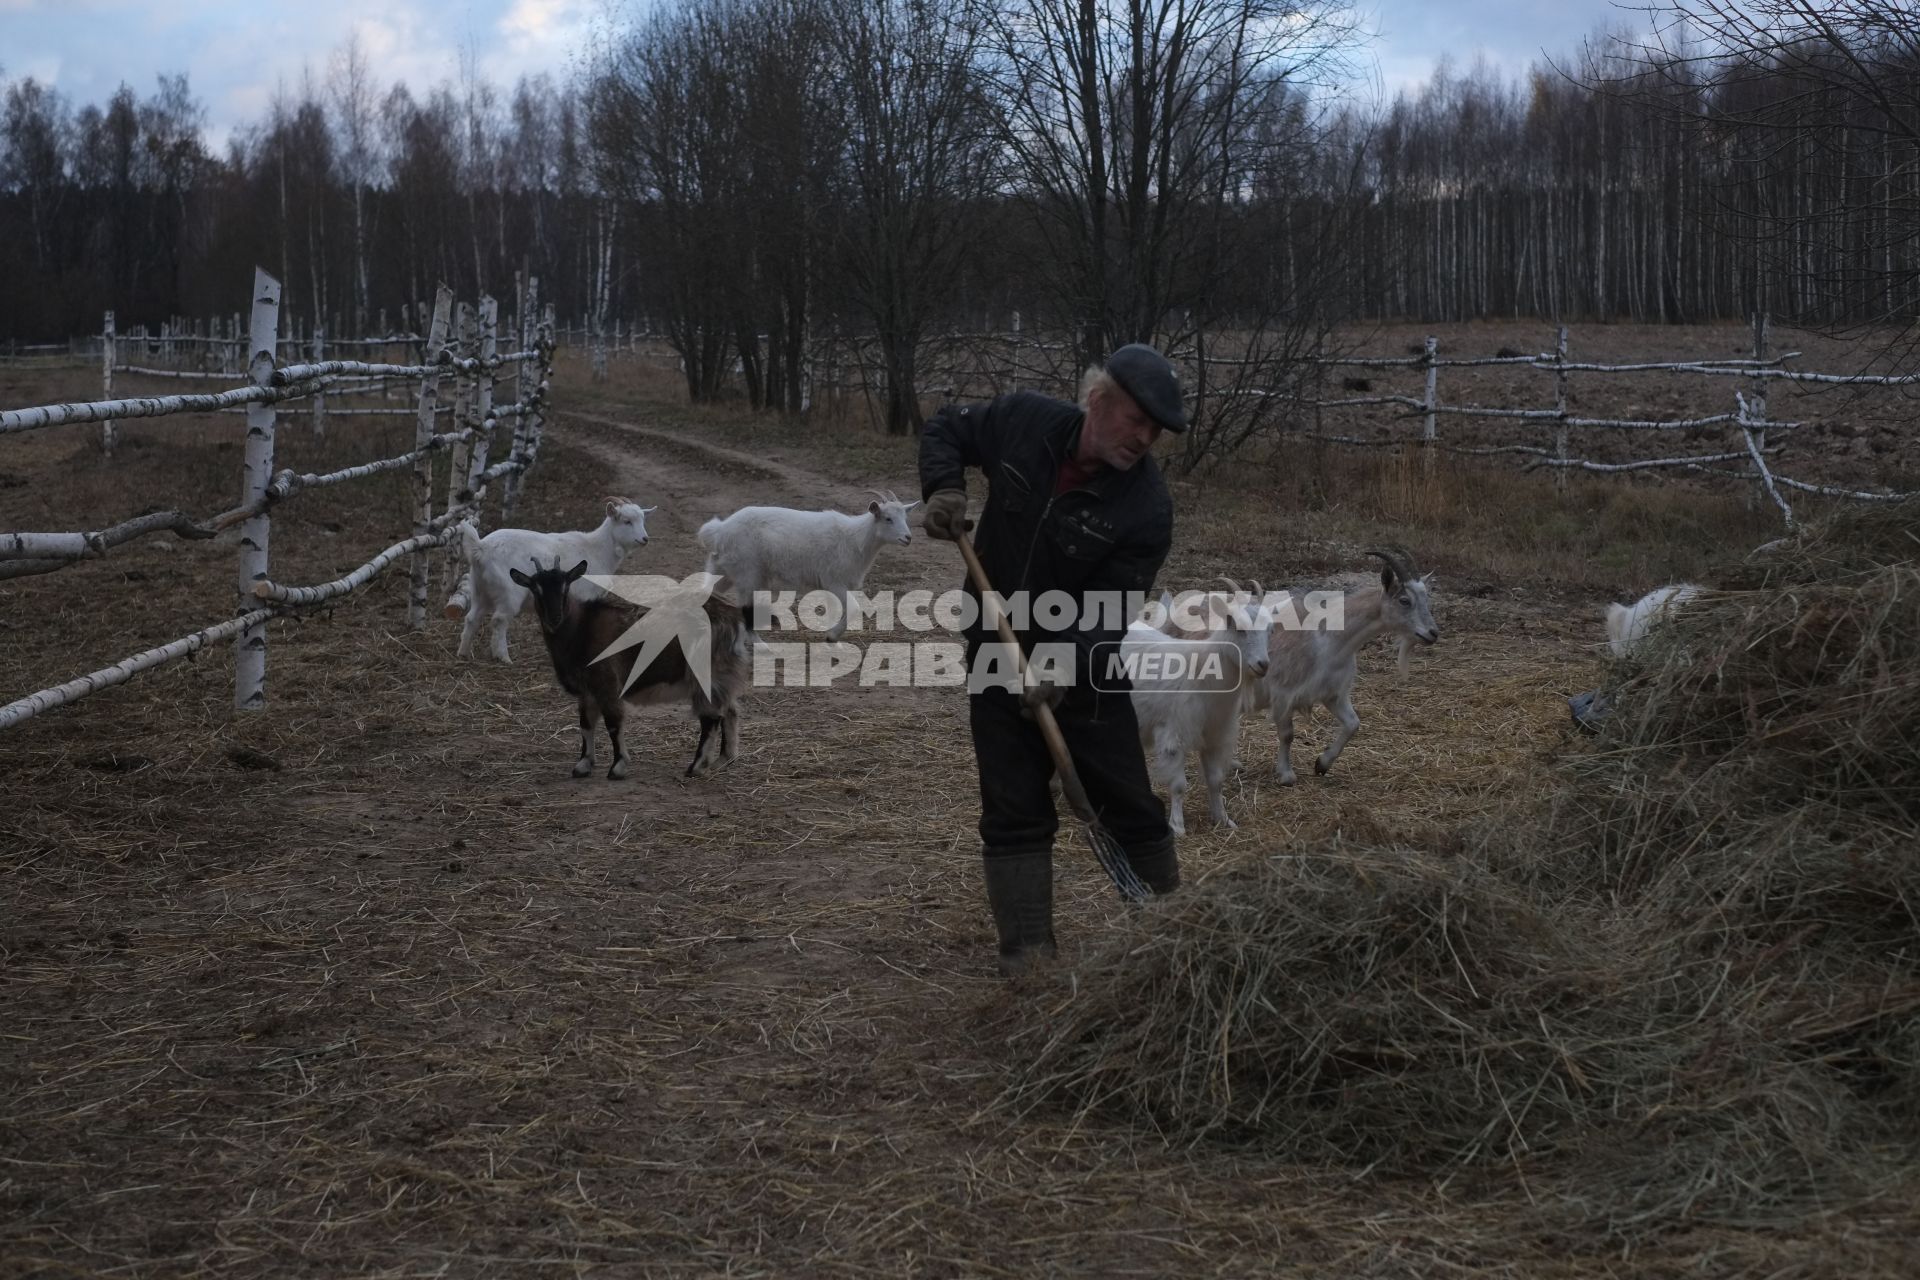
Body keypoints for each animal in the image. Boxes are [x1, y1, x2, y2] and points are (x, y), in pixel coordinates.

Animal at [453, 495, 656, 667]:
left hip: (480, 589)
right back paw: (503, 657)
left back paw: (463, 653)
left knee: (472, 618)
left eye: (643, 520)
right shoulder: (586, 595)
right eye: (627, 521)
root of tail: (481, 547)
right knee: (499, 620)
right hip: (508, 592)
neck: (597, 549)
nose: (645, 539)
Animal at [510, 556, 748, 782]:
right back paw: (723, 759)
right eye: (535, 589)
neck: (581, 629)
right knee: (730, 710)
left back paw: (696, 767)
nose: (555, 618)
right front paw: (583, 765)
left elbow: (613, 723)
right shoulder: (587, 690)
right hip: (722, 672)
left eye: (566, 586)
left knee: (711, 717)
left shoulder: (606, 682)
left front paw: (618, 767)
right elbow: (585, 723)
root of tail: (733, 615)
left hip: (705, 670)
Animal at [702, 487, 917, 637]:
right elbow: (854, 608)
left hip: (724, 569)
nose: (908, 538)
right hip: (748, 572)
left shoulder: (832, 586)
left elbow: (834, 611)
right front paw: (832, 637)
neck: (854, 538)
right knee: (744, 609)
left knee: (708, 592)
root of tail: (720, 530)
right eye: (888, 518)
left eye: (905, 517)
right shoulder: (834, 581)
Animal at [1121, 583, 1274, 840]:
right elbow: (1179, 785)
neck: (1202, 671)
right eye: (1236, 625)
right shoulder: (1173, 734)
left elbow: (1216, 780)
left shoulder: (1214, 735)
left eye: (1270, 629)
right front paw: (1177, 825)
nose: (1263, 665)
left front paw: (1223, 819)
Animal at [1251, 548, 1436, 786]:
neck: (1329, 639)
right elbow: (1287, 734)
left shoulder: (1333, 694)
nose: (1433, 633)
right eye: (1404, 600)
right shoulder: (1283, 693)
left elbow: (1353, 723)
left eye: (1426, 598)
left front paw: (1322, 764)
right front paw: (1286, 775)